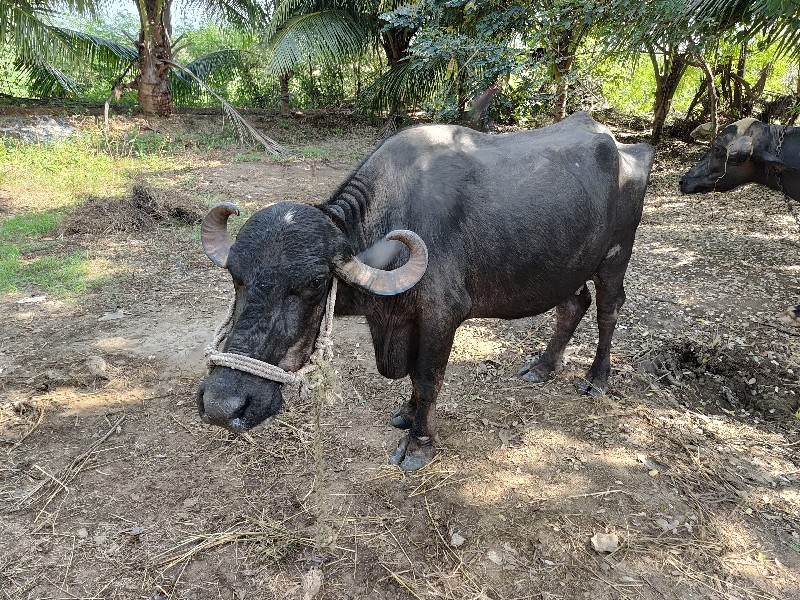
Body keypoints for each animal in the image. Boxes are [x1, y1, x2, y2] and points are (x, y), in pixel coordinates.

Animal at [195, 111, 656, 468]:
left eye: (313, 283)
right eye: (236, 276)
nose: (222, 406)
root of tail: (629, 150)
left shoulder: (441, 316)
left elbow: (428, 376)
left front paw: (418, 443)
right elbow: (415, 380)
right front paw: (406, 412)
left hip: (615, 255)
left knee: (608, 308)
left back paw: (597, 378)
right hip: (565, 266)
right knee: (574, 304)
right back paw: (542, 366)